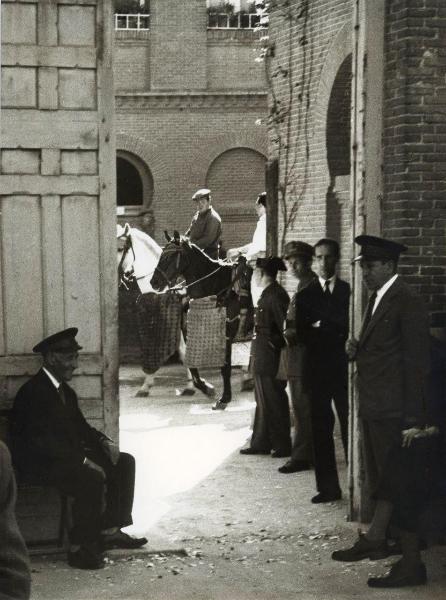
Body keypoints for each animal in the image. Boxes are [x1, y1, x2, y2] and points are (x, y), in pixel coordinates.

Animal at [150, 230, 251, 408]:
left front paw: (225, 397)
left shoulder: (226, 335)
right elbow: (191, 364)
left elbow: (225, 367)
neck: (216, 288)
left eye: (170, 256)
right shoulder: (191, 334)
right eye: (161, 254)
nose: (154, 282)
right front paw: (206, 387)